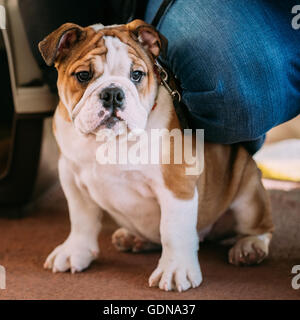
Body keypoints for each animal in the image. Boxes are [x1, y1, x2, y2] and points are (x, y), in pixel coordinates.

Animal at [38, 18, 274, 292]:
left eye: (136, 75)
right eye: (83, 75)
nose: (112, 93)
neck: (110, 141)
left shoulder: (176, 185)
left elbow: (173, 231)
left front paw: (175, 270)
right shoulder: (71, 177)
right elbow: (80, 218)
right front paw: (75, 251)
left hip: (248, 193)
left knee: (260, 226)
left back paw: (250, 247)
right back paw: (134, 238)